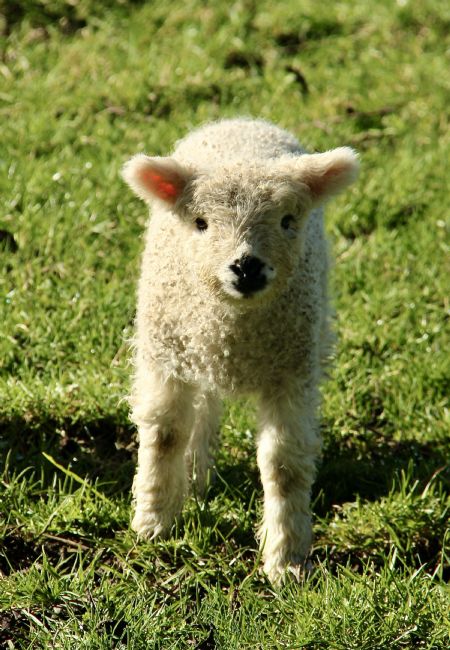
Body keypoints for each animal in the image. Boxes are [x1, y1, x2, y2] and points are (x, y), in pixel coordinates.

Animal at [122, 118, 359, 584]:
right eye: (200, 223)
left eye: (288, 220)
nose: (247, 267)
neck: (235, 330)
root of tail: (242, 122)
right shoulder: (165, 357)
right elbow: (164, 436)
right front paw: (153, 523)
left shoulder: (291, 375)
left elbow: (283, 467)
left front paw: (286, 560)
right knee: (202, 409)